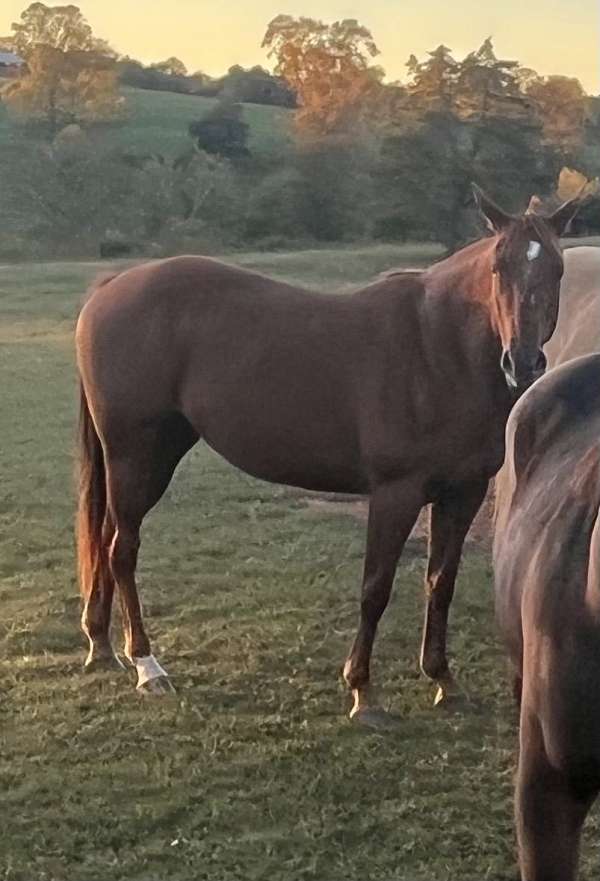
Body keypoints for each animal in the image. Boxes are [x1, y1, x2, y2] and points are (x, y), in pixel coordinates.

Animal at [75, 185, 581, 726]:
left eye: (557, 269)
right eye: (498, 266)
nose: (522, 362)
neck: (436, 350)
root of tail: (112, 286)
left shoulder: (461, 494)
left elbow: (440, 583)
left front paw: (442, 678)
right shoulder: (395, 494)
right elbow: (376, 588)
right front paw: (362, 690)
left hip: (144, 458)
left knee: (106, 540)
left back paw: (101, 643)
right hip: (137, 458)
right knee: (122, 550)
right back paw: (147, 665)